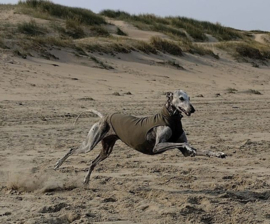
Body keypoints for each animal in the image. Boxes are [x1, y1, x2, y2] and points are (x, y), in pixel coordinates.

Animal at [54, 90, 226, 185]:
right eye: (181, 98)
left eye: (189, 98)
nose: (193, 109)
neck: (171, 118)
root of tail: (104, 117)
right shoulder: (157, 147)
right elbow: (181, 144)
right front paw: (190, 147)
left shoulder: (182, 150)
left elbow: (200, 150)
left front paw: (218, 153)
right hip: (90, 144)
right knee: (72, 149)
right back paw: (57, 164)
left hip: (106, 150)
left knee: (92, 162)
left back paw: (86, 181)